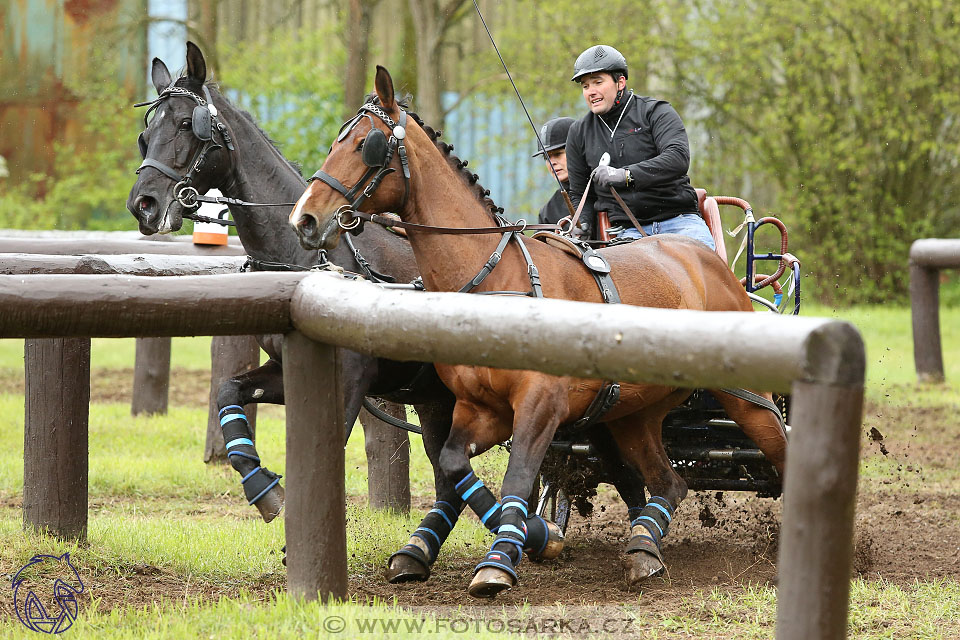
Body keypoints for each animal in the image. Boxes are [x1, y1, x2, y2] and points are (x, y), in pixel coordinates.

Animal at [286, 67, 788, 596]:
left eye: (367, 144)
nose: (304, 218)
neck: (493, 280)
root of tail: (706, 259)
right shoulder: (478, 408)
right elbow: (455, 464)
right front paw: (533, 535)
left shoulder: (540, 403)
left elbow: (518, 474)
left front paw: (502, 557)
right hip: (635, 414)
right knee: (669, 482)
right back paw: (643, 547)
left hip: (746, 400)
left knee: (782, 455)